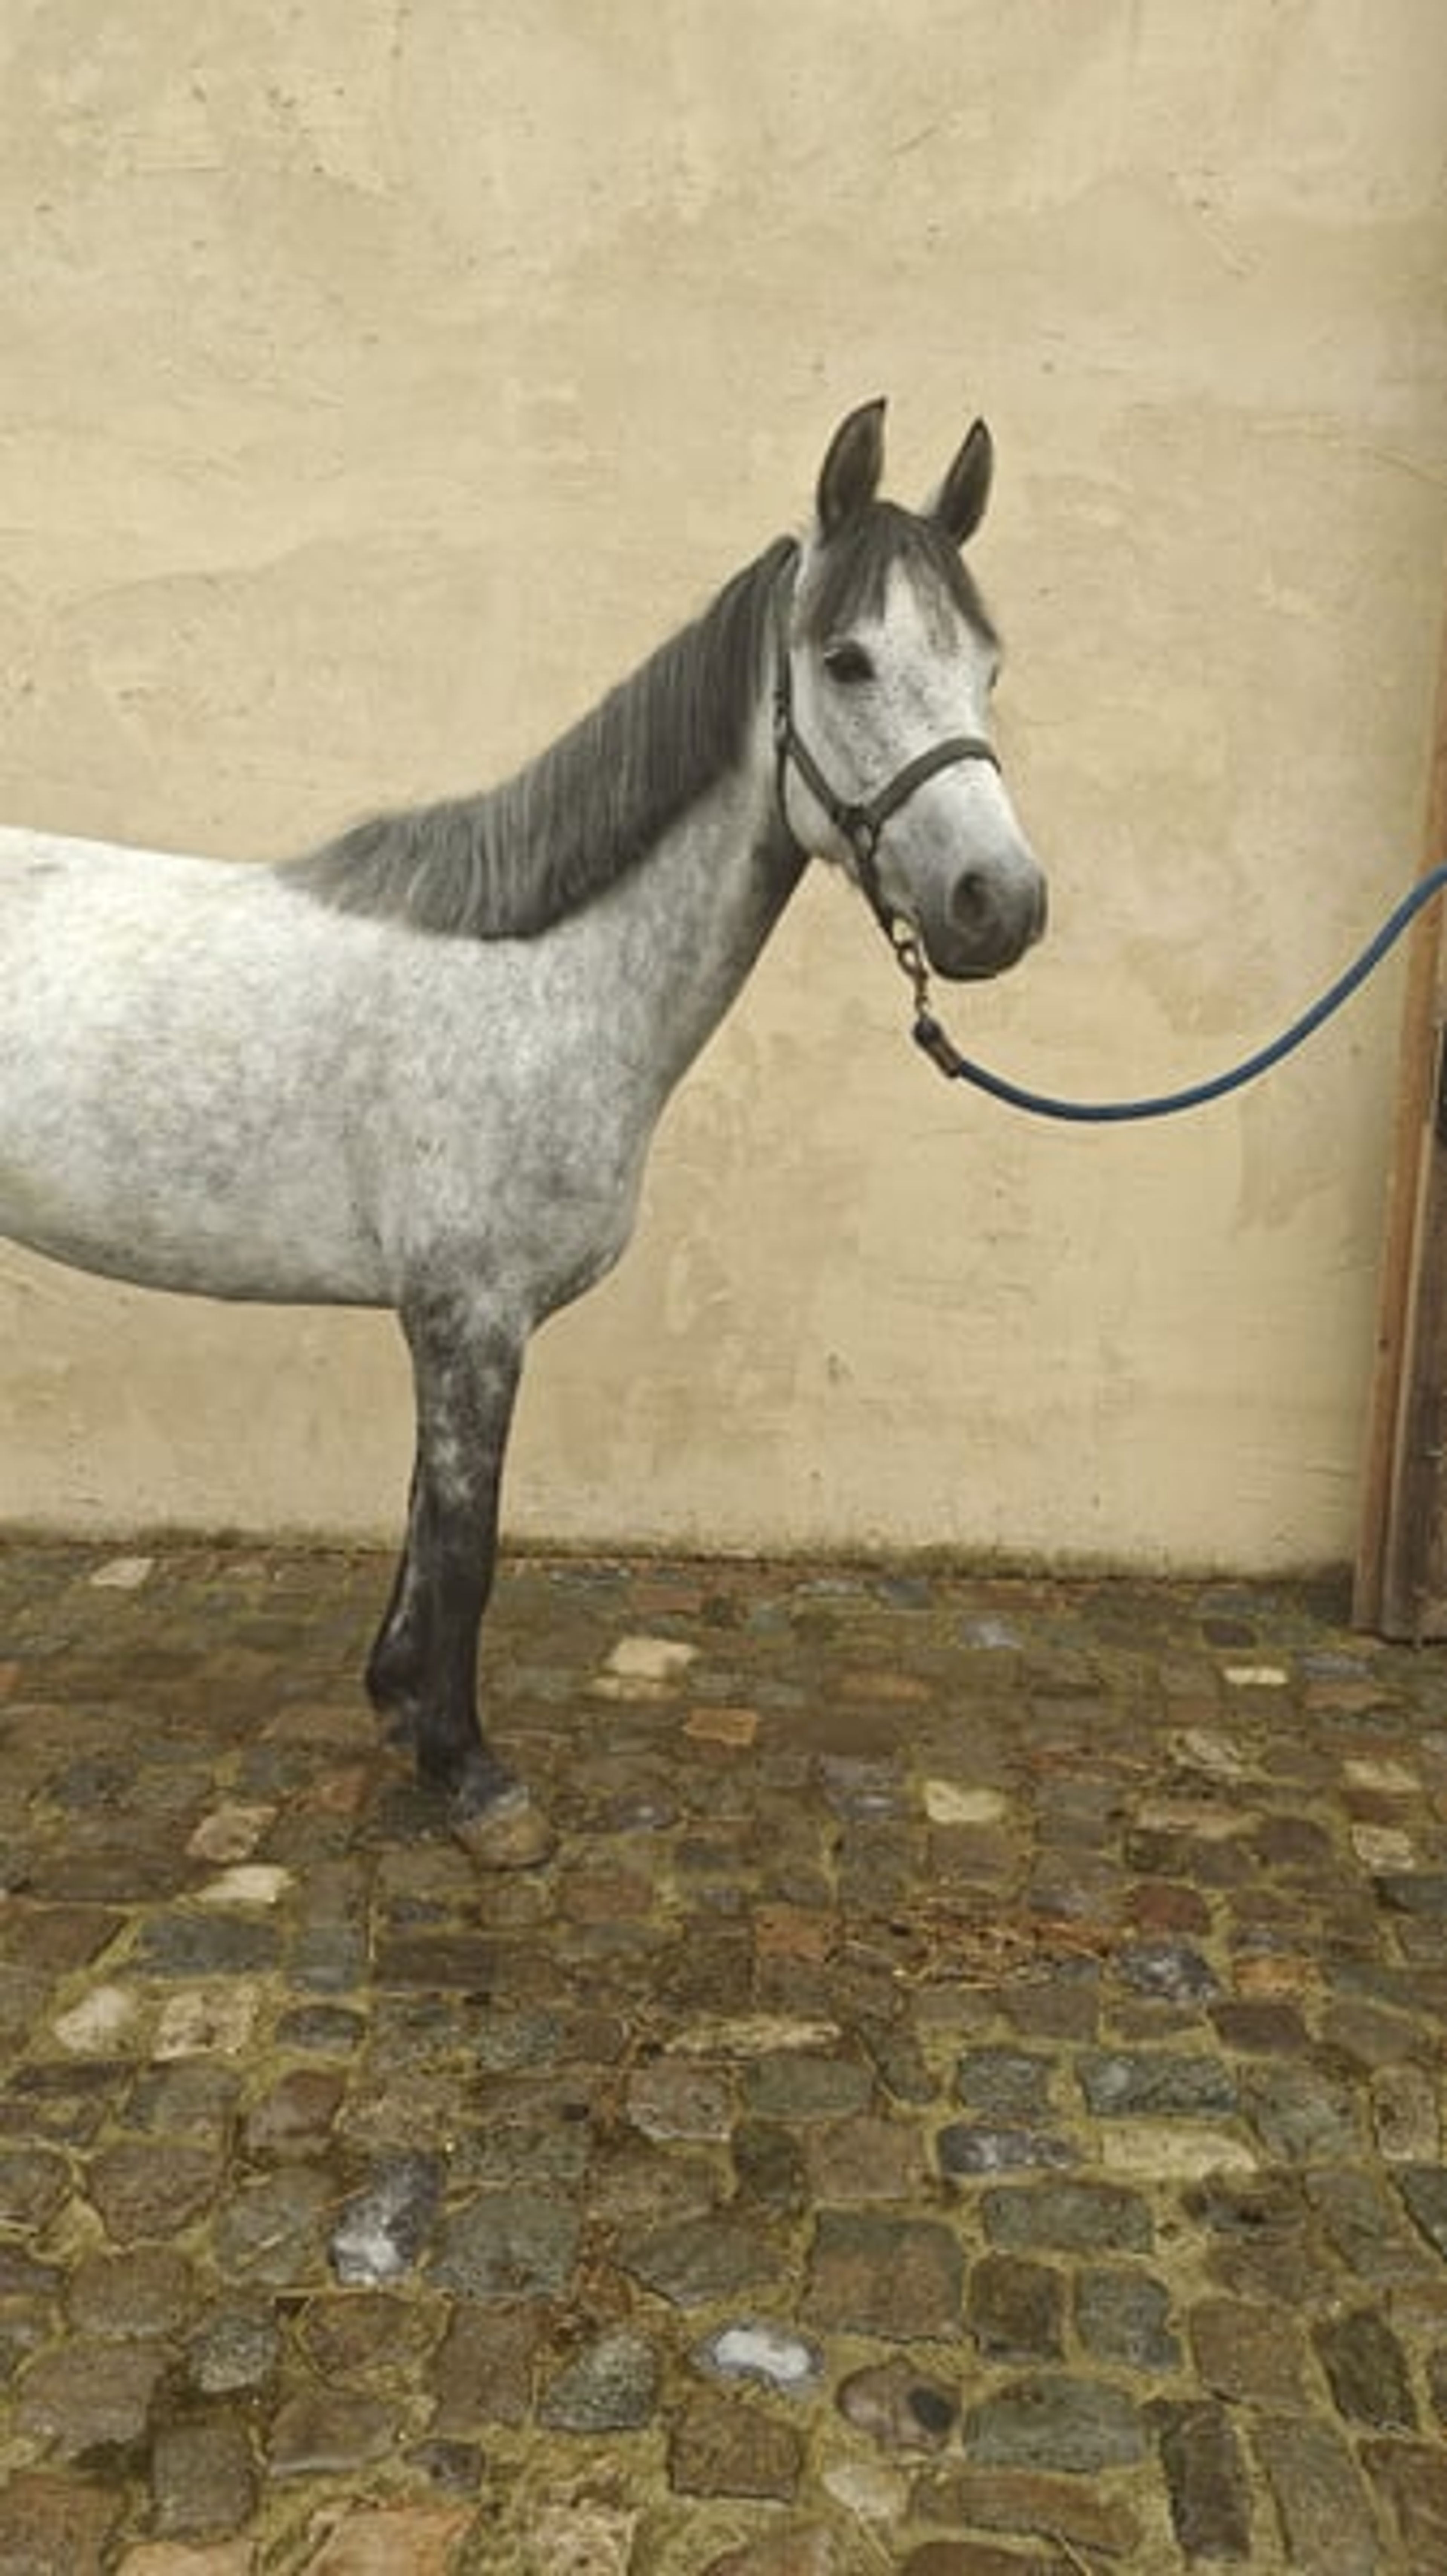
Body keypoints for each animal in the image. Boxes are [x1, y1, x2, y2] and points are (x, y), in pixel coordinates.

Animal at [0, 400, 1046, 1868]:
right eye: (848, 660)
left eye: (989, 667)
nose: (997, 904)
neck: (542, 973)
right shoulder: (471, 1315)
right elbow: (468, 1540)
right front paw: (472, 1775)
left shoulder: (449, 1319)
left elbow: (423, 1524)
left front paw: (399, 1705)